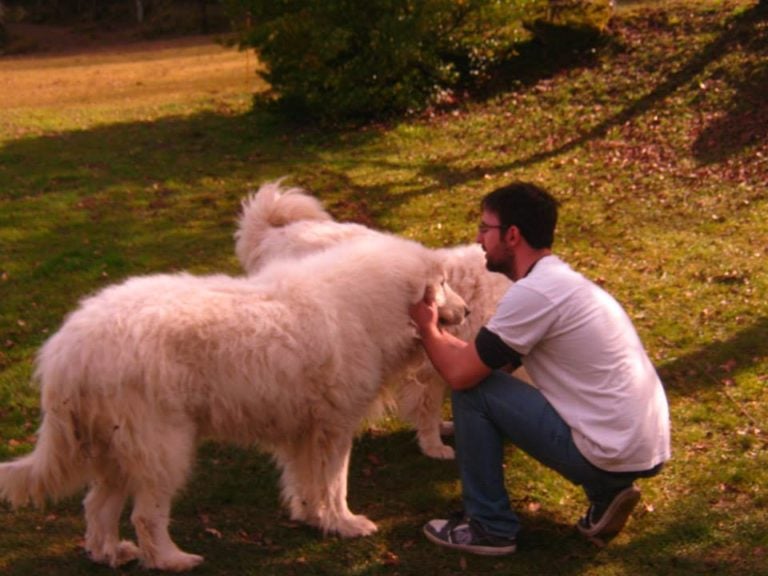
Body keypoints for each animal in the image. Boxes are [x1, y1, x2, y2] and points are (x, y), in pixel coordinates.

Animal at [0, 234, 468, 572]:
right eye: (442, 285)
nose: (464, 311)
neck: (369, 304)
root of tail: (67, 348)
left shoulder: (305, 432)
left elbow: (307, 484)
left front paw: (313, 518)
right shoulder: (333, 429)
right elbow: (335, 484)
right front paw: (345, 523)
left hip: (117, 448)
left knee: (97, 508)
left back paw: (111, 553)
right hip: (163, 446)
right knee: (146, 515)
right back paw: (171, 560)